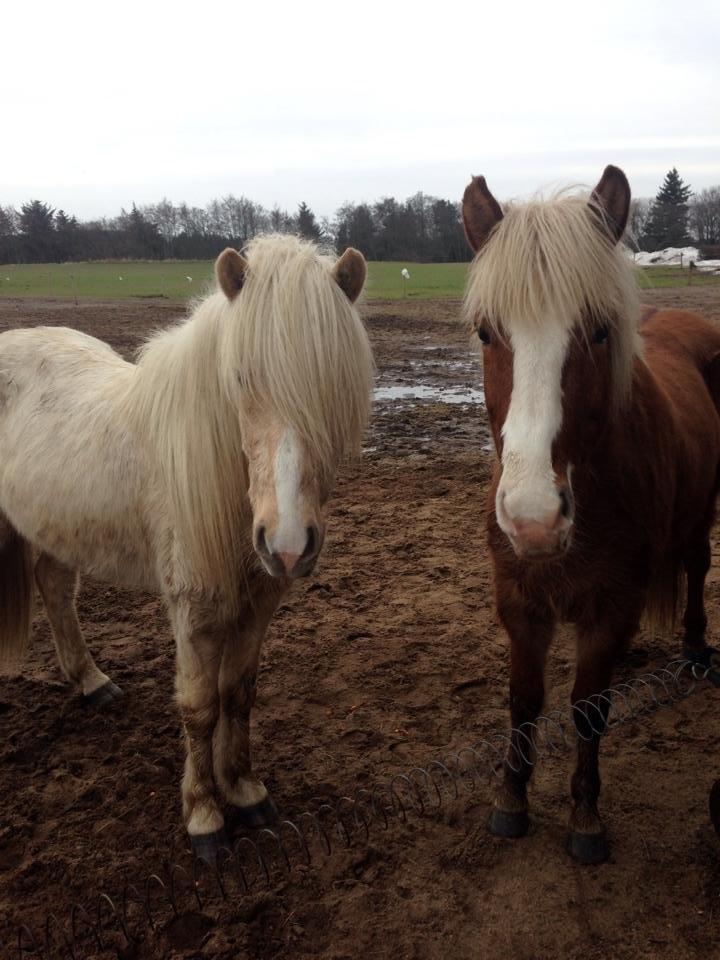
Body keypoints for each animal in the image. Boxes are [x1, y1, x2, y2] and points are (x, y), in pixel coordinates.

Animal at [0, 236, 372, 860]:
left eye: (334, 387)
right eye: (240, 378)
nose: (288, 543)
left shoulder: (258, 600)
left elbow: (238, 694)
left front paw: (244, 791)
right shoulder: (195, 608)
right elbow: (199, 707)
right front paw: (204, 816)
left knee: (55, 586)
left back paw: (92, 682)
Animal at [462, 169, 720, 868]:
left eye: (600, 330)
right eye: (486, 333)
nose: (533, 519)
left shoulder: (612, 606)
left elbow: (588, 710)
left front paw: (585, 816)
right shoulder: (519, 601)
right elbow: (524, 701)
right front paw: (511, 801)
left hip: (703, 512)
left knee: (696, 566)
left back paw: (694, 649)